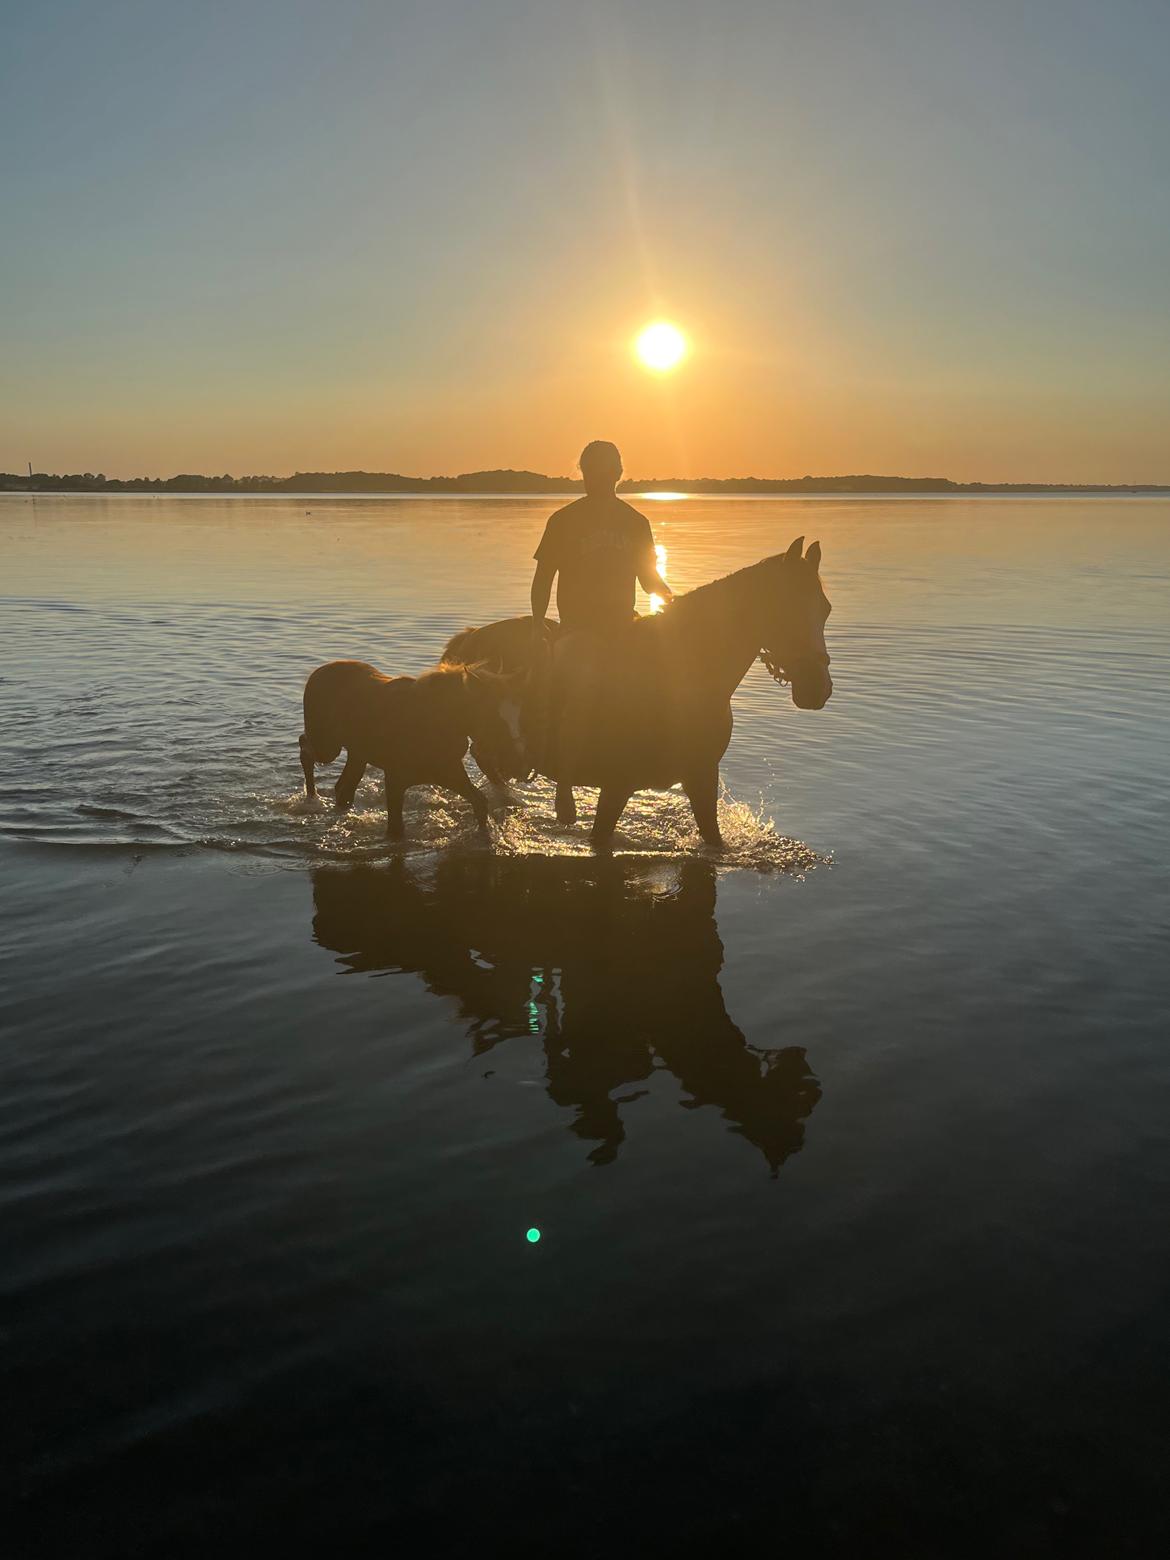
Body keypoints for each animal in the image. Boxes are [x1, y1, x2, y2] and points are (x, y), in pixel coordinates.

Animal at [299, 655, 524, 836]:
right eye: (495, 719)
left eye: (517, 716)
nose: (516, 763)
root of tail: (317, 672)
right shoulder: (395, 780)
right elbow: (396, 831)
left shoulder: (449, 774)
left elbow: (480, 803)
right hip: (328, 747)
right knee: (305, 747)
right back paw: (312, 798)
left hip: (357, 754)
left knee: (343, 788)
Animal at [439, 539, 836, 854]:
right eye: (782, 607)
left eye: (825, 608)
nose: (817, 688)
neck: (677, 681)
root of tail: (472, 638)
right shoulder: (616, 787)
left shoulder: (701, 778)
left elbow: (713, 840)